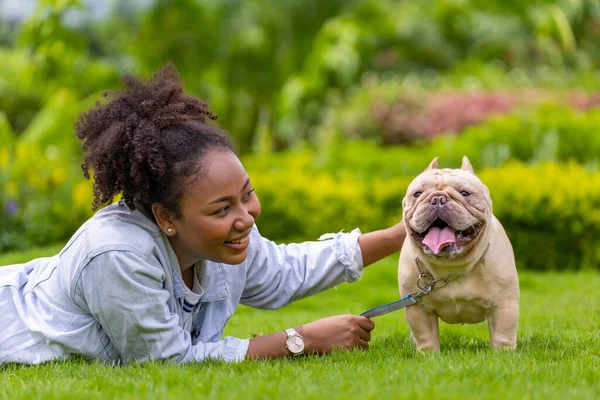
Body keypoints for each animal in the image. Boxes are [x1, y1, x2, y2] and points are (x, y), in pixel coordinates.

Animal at [396, 156, 516, 350]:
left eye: (465, 193)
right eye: (417, 194)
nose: (437, 199)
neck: (452, 265)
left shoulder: (504, 305)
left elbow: (502, 335)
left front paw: (504, 353)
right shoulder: (418, 309)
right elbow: (426, 337)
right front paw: (429, 354)